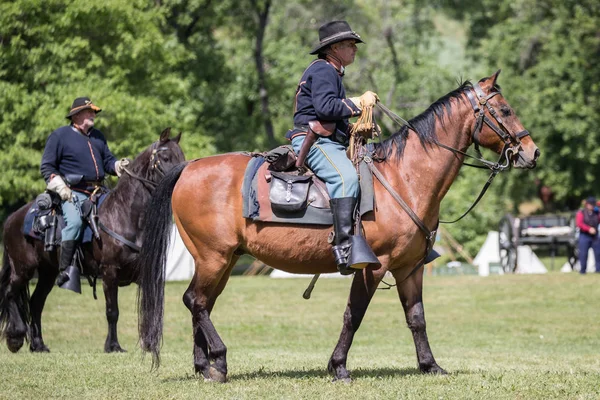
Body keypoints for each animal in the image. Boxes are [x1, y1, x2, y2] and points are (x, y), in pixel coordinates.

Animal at [0, 128, 184, 354]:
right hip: (22, 268)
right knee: (10, 293)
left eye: (181, 156)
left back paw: (38, 345)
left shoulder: (144, 274)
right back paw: (15, 338)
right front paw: (113, 346)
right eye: (165, 158)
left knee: (35, 303)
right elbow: (112, 311)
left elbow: (147, 308)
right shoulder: (109, 272)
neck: (125, 215)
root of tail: (12, 218)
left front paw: (149, 345)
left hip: (47, 273)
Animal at [138, 71, 540, 382]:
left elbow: (417, 318)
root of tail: (189, 168)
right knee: (196, 301)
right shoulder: (373, 267)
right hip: (214, 258)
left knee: (201, 303)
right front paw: (339, 366)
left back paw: (204, 366)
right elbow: (354, 315)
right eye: (505, 110)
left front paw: (430, 365)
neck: (405, 177)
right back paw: (219, 359)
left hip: (220, 260)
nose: (532, 152)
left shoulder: (410, 268)